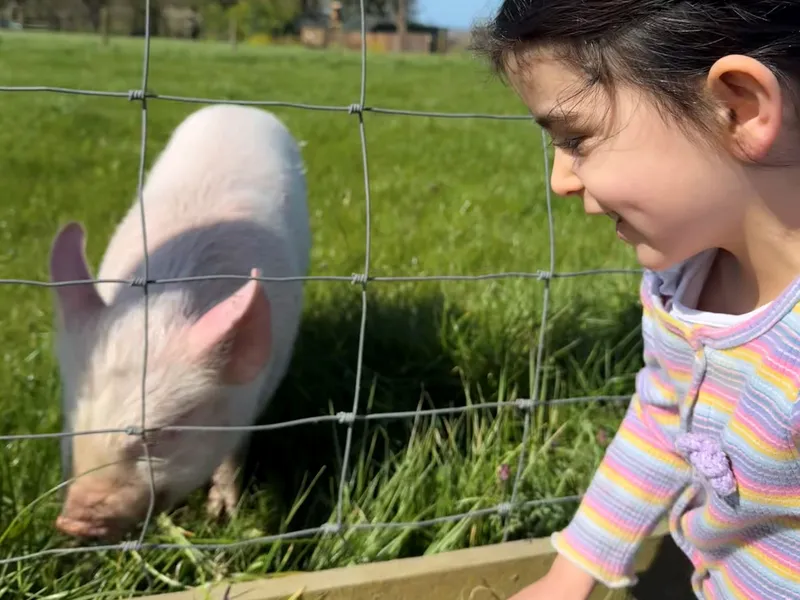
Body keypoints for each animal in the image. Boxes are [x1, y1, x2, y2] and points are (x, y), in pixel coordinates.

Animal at [48, 103, 311, 541]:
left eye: (160, 434)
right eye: (74, 419)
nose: (72, 521)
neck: (163, 304)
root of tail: (236, 107)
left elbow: (232, 454)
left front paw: (223, 515)